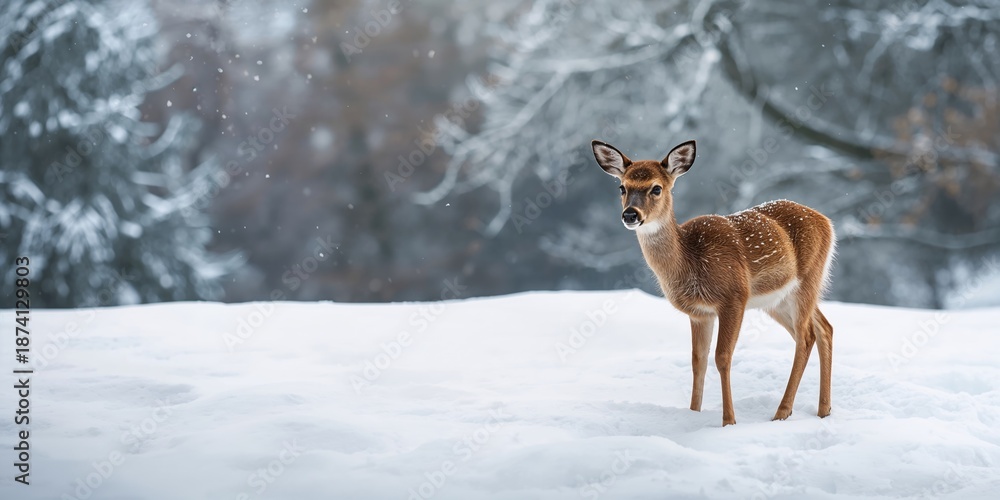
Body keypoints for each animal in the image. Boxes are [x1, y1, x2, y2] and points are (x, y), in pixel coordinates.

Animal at [591, 139, 836, 426]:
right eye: (622, 187)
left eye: (656, 188)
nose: (630, 215)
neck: (692, 261)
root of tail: (826, 221)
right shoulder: (699, 313)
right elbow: (698, 361)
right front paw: (693, 413)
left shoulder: (734, 296)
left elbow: (722, 357)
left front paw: (728, 421)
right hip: (779, 299)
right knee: (823, 329)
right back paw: (824, 410)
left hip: (808, 279)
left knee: (806, 336)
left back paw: (782, 412)